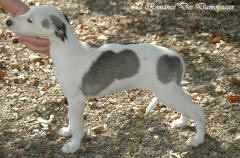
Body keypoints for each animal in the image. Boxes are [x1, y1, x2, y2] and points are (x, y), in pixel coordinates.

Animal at [6, 5, 204, 153]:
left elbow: (78, 125)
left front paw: (73, 146)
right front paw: (67, 132)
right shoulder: (70, 98)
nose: (8, 21)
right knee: (190, 100)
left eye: (30, 20)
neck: (68, 50)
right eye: (26, 12)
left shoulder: (77, 99)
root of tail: (176, 57)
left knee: (198, 111)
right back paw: (182, 122)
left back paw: (197, 140)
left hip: (166, 93)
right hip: (172, 90)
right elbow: (71, 118)